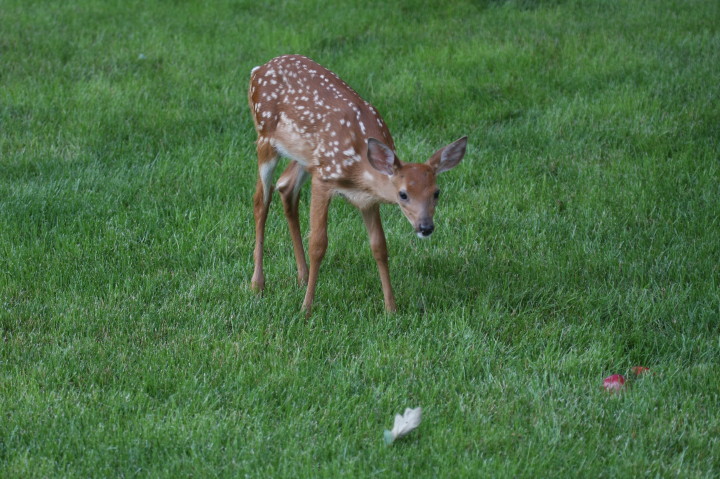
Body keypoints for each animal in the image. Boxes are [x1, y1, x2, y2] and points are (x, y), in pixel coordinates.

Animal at [248, 54, 467, 315]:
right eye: (403, 194)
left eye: (436, 193)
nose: (425, 227)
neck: (359, 165)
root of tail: (258, 69)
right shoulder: (323, 178)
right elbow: (318, 244)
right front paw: (306, 309)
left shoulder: (367, 199)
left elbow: (379, 246)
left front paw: (391, 308)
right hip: (265, 137)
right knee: (261, 200)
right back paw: (257, 284)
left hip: (303, 156)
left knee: (286, 187)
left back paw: (302, 276)